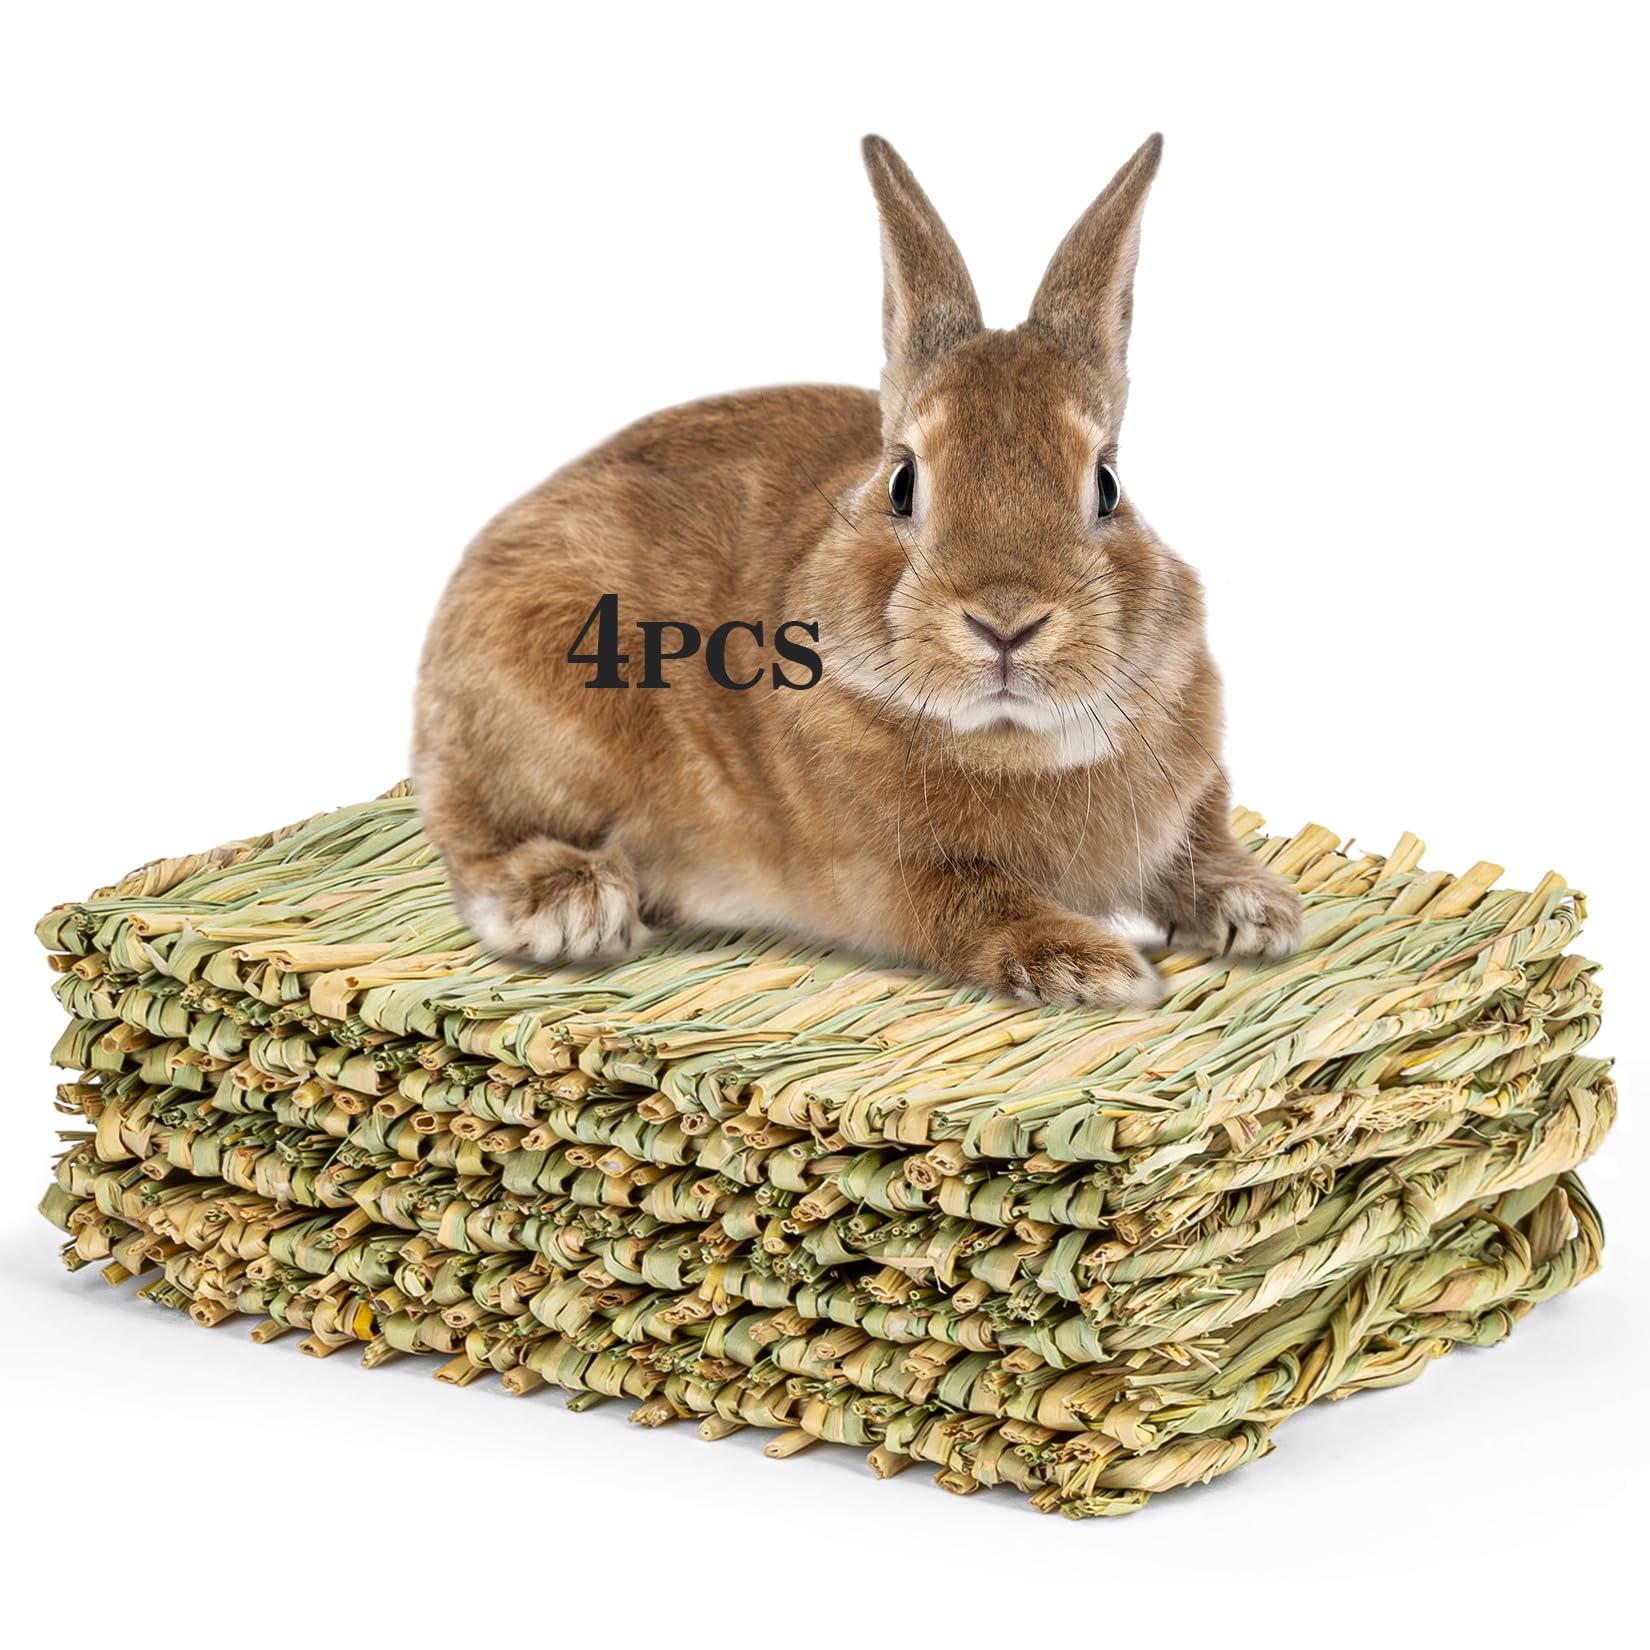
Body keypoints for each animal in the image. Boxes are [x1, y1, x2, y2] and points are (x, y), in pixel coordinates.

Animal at [412, 133, 1303, 1007]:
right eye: (903, 482)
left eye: (1108, 485)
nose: (1005, 622)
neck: (1013, 743)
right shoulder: (891, 876)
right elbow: (977, 904)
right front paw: (1095, 967)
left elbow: (1200, 846)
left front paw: (1259, 910)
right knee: (469, 835)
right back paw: (568, 903)